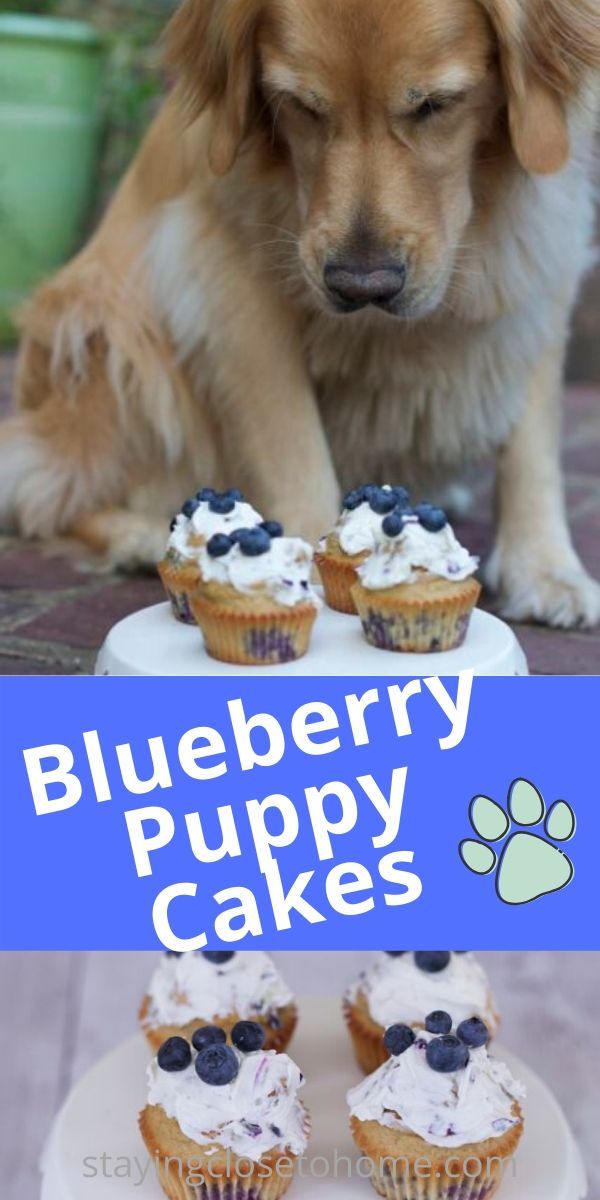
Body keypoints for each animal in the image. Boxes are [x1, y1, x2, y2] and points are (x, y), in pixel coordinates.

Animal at [1, 0, 600, 624]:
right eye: (302, 106)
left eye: (436, 104)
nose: (363, 285)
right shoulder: (227, 276)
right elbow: (294, 447)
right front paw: (307, 571)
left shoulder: (541, 249)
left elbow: (534, 446)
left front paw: (546, 568)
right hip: (109, 328)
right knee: (42, 488)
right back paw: (137, 536)